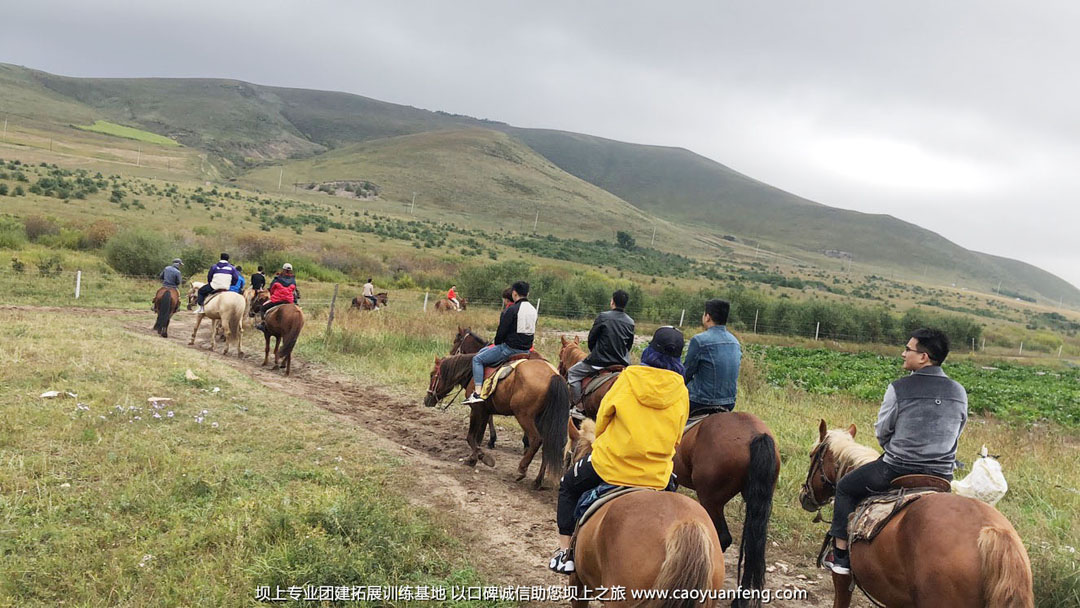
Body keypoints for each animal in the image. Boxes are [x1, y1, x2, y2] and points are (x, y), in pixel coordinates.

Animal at [423, 352, 574, 490]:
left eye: (432, 375)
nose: (427, 400)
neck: (471, 372)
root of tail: (553, 375)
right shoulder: (485, 412)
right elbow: (478, 438)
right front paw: (473, 458)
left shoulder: (477, 410)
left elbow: (471, 437)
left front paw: (482, 457)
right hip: (543, 420)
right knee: (546, 446)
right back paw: (537, 481)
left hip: (524, 416)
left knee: (536, 440)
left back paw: (522, 469)